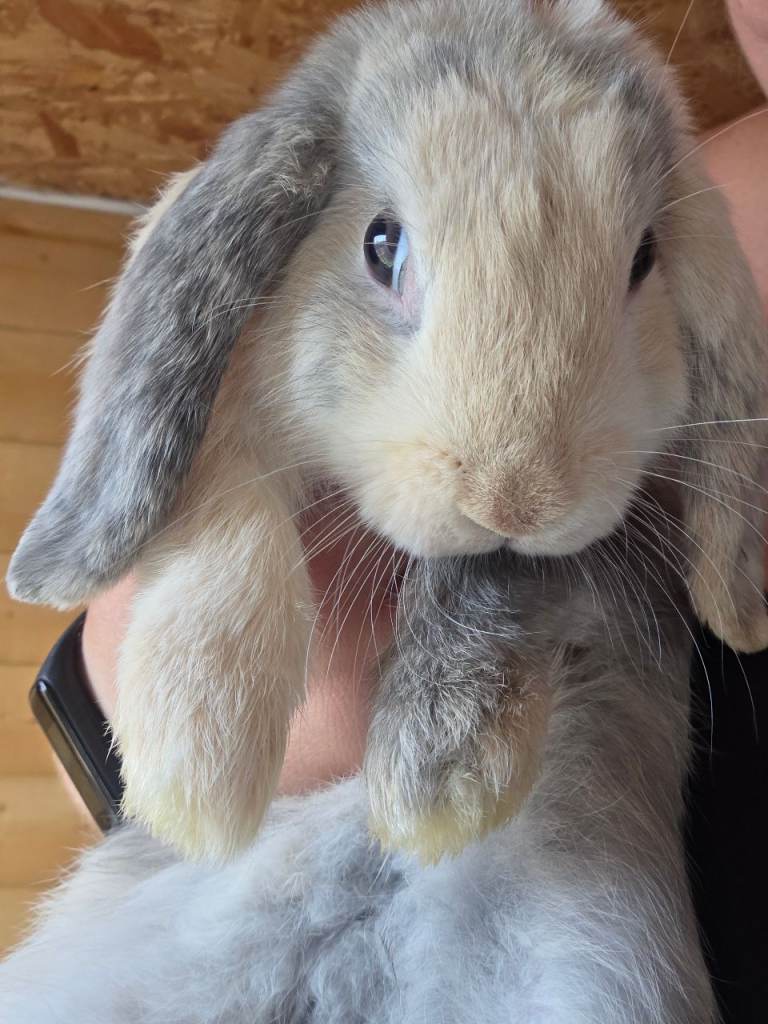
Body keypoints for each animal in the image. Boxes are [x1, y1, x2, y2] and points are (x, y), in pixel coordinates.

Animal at [6, 0, 767, 870]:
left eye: (644, 259)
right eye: (381, 244)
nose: (515, 501)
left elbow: (490, 588)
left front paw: (438, 790)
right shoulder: (238, 414)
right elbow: (230, 513)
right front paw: (196, 774)